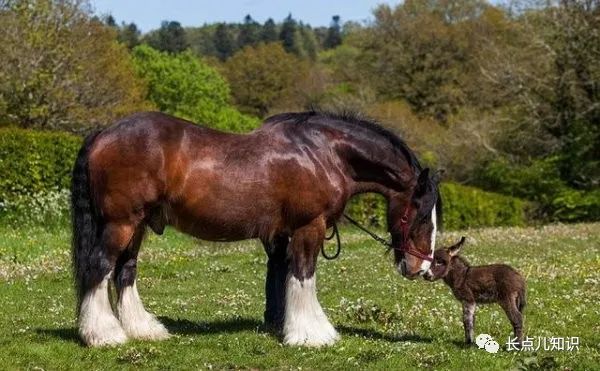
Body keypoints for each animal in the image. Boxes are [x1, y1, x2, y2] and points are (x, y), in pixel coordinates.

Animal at [71, 110, 440, 348]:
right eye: (422, 216)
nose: (420, 267)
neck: (322, 153)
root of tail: (104, 134)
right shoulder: (309, 227)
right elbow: (303, 276)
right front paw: (312, 334)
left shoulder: (281, 236)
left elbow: (282, 277)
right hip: (121, 223)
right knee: (100, 268)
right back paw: (103, 335)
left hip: (138, 226)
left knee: (125, 271)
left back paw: (142, 330)